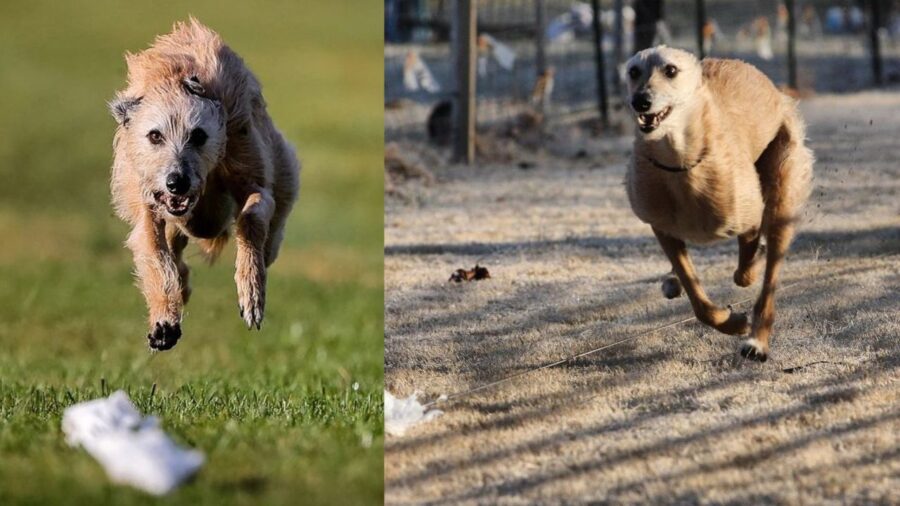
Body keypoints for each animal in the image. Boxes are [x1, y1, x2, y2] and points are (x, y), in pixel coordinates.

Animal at [110, 20, 300, 352]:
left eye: (198, 135)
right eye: (154, 135)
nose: (177, 182)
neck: (176, 79)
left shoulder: (249, 167)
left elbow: (252, 215)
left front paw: (251, 291)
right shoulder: (148, 203)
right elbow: (154, 251)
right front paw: (164, 321)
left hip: (282, 169)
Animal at [624, 46, 816, 360]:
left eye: (671, 70)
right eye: (633, 71)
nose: (640, 101)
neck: (681, 164)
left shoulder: (749, 218)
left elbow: (745, 272)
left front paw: (742, 317)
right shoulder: (662, 227)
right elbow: (698, 297)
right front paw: (731, 322)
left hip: (782, 185)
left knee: (769, 274)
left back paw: (757, 341)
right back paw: (672, 281)